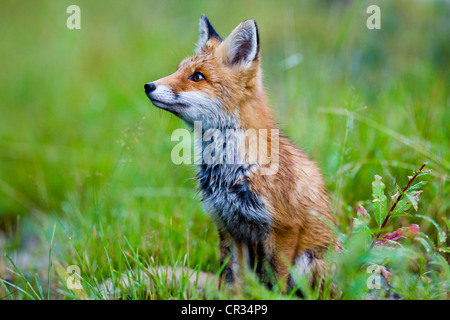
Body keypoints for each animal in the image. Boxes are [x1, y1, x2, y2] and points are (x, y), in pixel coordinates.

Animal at [144, 15, 334, 292]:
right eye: (179, 70)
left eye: (197, 76)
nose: (148, 86)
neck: (232, 169)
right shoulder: (230, 226)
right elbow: (236, 284)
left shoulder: (283, 228)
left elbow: (276, 283)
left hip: (309, 262)